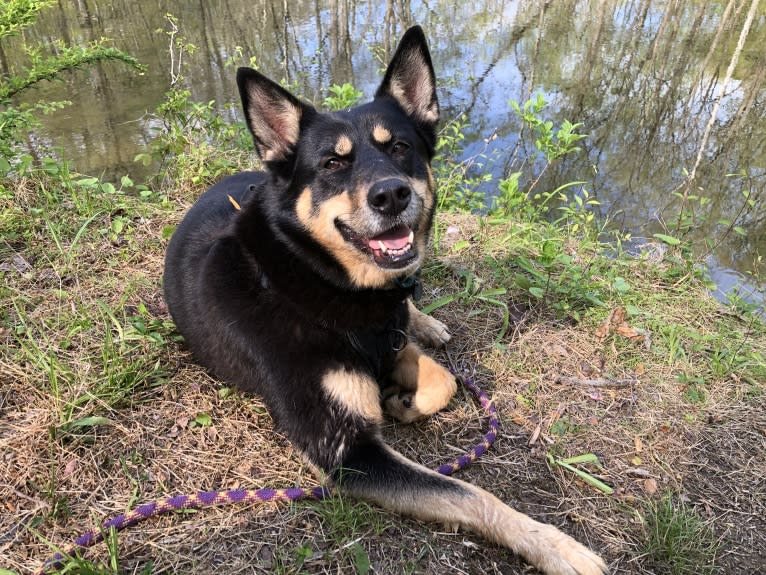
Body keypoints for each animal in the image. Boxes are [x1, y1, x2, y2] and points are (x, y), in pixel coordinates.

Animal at [165, 24, 608, 572]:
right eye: (333, 163)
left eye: (398, 147)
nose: (392, 195)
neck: (321, 280)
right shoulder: (351, 453)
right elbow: (469, 493)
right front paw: (557, 546)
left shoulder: (392, 342)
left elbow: (444, 381)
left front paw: (405, 399)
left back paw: (427, 322)